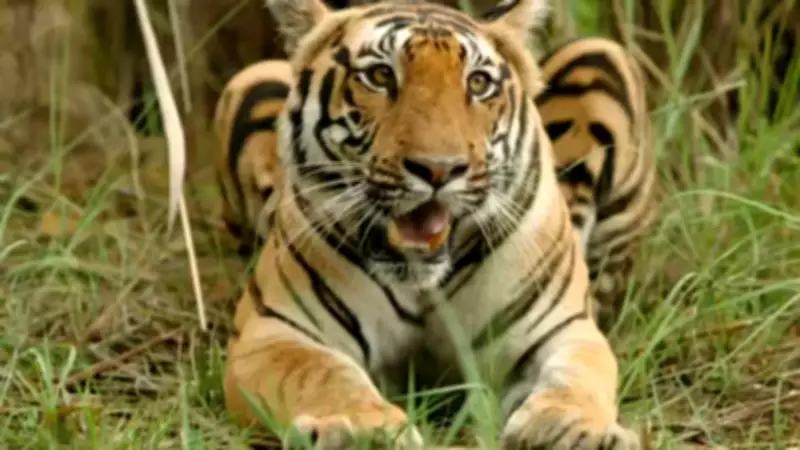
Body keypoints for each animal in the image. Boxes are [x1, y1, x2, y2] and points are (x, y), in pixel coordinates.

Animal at [214, 0, 652, 448]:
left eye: (478, 83)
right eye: (380, 76)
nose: (439, 169)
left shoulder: (563, 331)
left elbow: (574, 380)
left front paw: (572, 429)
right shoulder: (275, 330)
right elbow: (324, 374)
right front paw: (360, 428)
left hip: (601, 52)